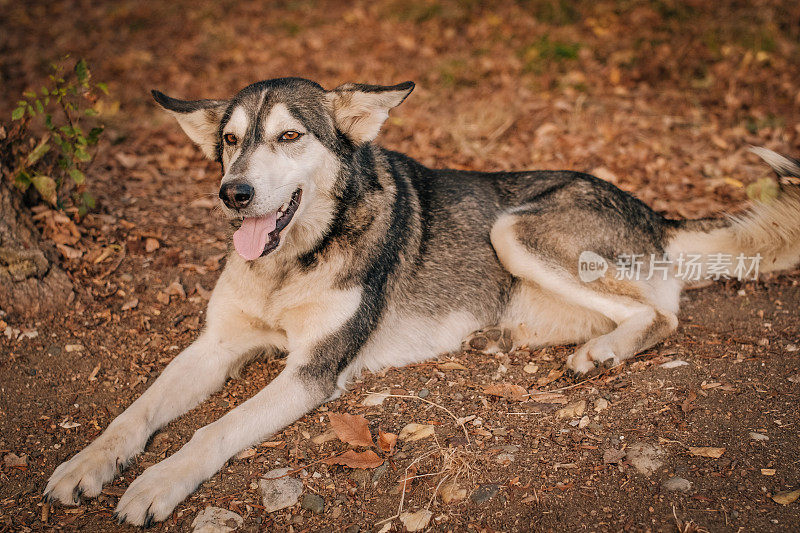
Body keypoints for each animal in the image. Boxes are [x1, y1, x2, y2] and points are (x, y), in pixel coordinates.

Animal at [45, 77, 800, 524]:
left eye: (289, 136)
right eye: (230, 141)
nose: (233, 193)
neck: (293, 262)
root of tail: (654, 213)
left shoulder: (310, 372)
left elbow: (212, 430)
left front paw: (156, 483)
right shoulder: (215, 345)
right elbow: (135, 411)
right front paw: (85, 466)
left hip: (514, 228)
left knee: (662, 313)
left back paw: (605, 350)